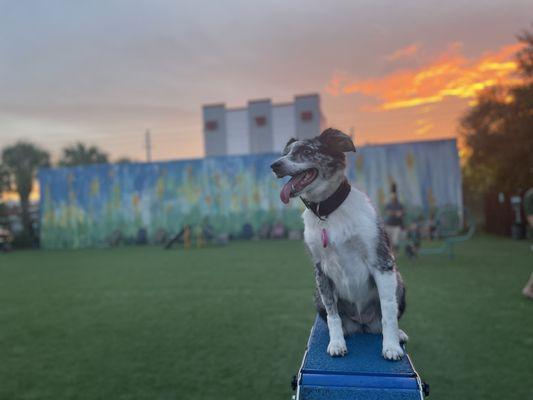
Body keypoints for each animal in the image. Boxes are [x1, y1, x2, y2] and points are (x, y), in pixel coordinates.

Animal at [270, 130, 408, 360]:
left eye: (307, 151)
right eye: (285, 153)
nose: (274, 165)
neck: (327, 211)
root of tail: (362, 323)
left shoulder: (382, 262)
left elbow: (388, 309)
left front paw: (391, 347)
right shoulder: (321, 270)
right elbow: (332, 314)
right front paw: (336, 343)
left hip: (398, 280)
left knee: (385, 316)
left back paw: (398, 334)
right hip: (316, 294)